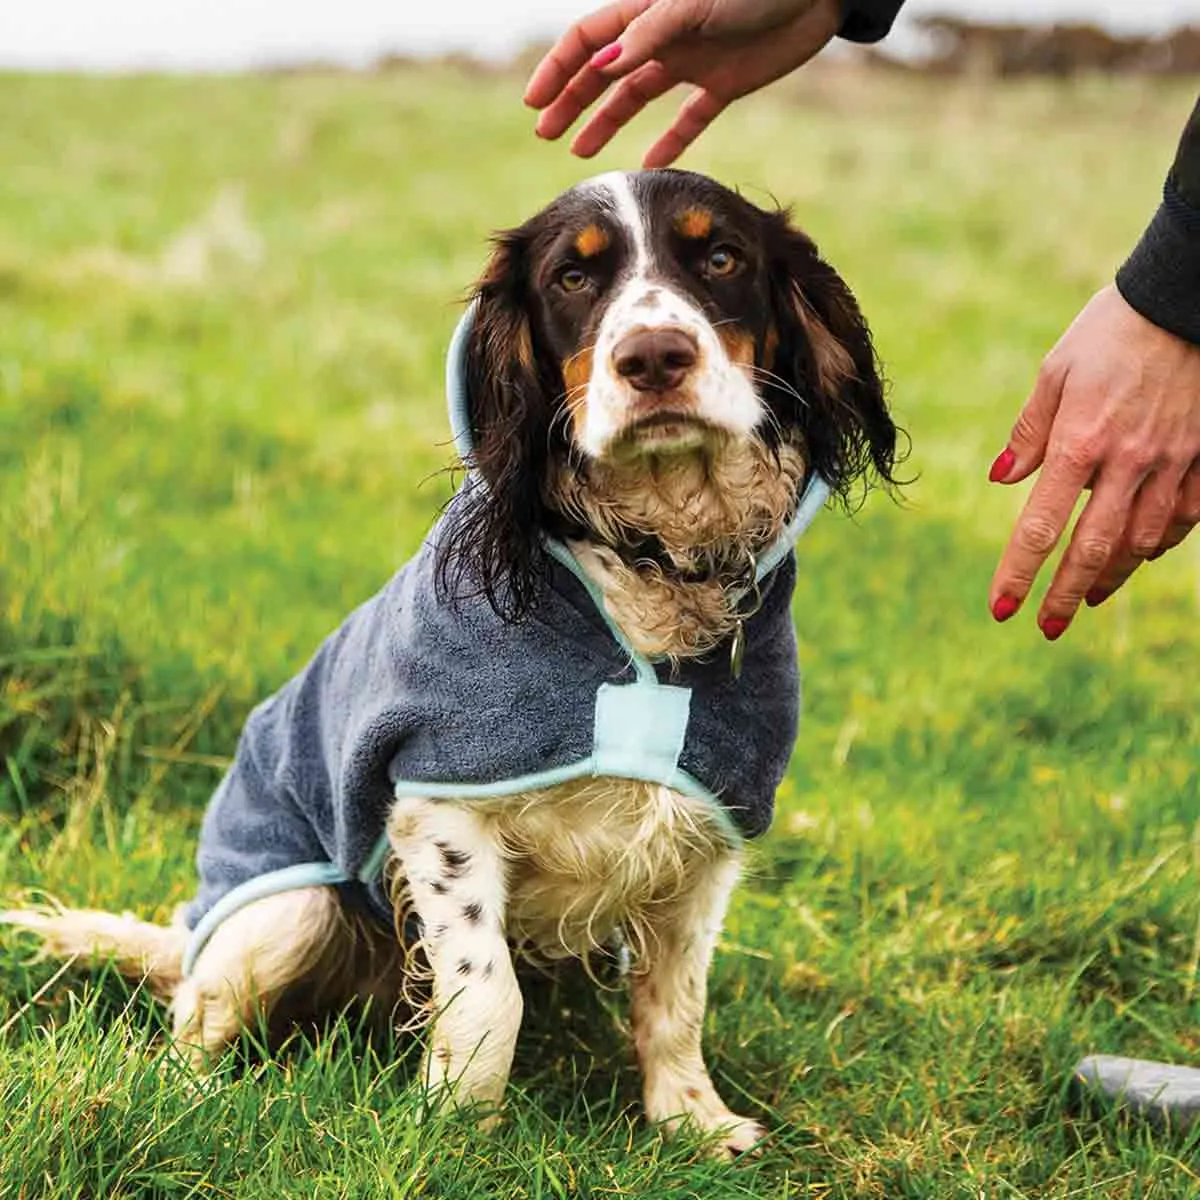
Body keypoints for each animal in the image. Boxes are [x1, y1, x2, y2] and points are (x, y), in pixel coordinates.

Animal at [2, 169, 902, 1152]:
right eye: (573, 278)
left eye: (722, 257)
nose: (655, 356)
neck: (648, 564)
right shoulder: (441, 804)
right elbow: (485, 994)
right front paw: (458, 1125)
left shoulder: (708, 833)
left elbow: (677, 999)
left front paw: (693, 1122)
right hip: (284, 907)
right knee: (197, 1015)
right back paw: (195, 1099)